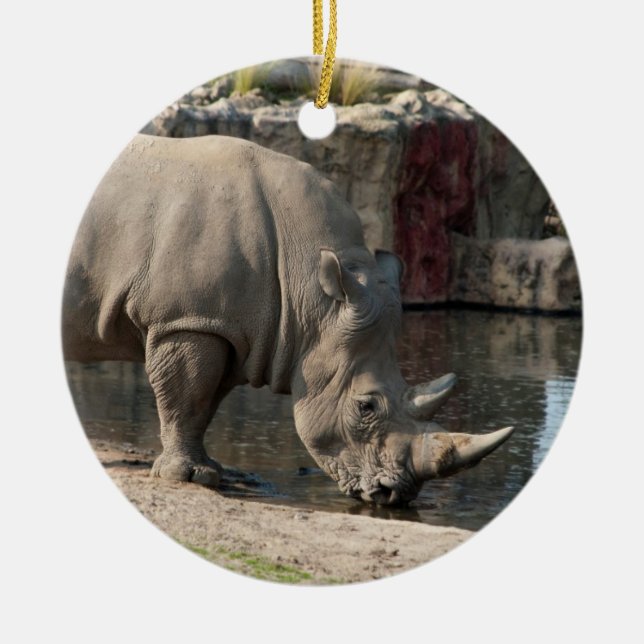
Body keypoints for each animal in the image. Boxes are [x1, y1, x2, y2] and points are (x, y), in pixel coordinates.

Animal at [63, 134, 513, 506]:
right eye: (365, 406)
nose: (393, 495)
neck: (313, 293)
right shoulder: (189, 320)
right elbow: (184, 396)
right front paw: (187, 477)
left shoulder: (233, 330)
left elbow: (204, 402)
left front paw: (209, 469)